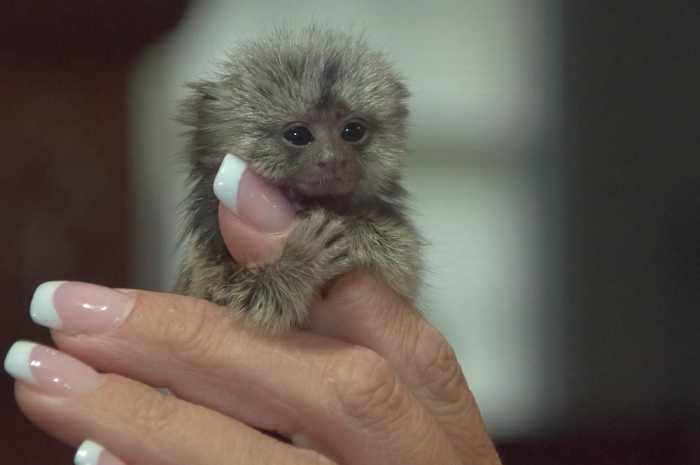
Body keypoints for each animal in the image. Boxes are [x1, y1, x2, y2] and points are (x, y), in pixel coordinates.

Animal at [175, 26, 423, 331]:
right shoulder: (207, 258)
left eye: (353, 131)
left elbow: (401, 253)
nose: (332, 158)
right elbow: (233, 297)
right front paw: (301, 261)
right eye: (298, 135)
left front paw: (353, 230)